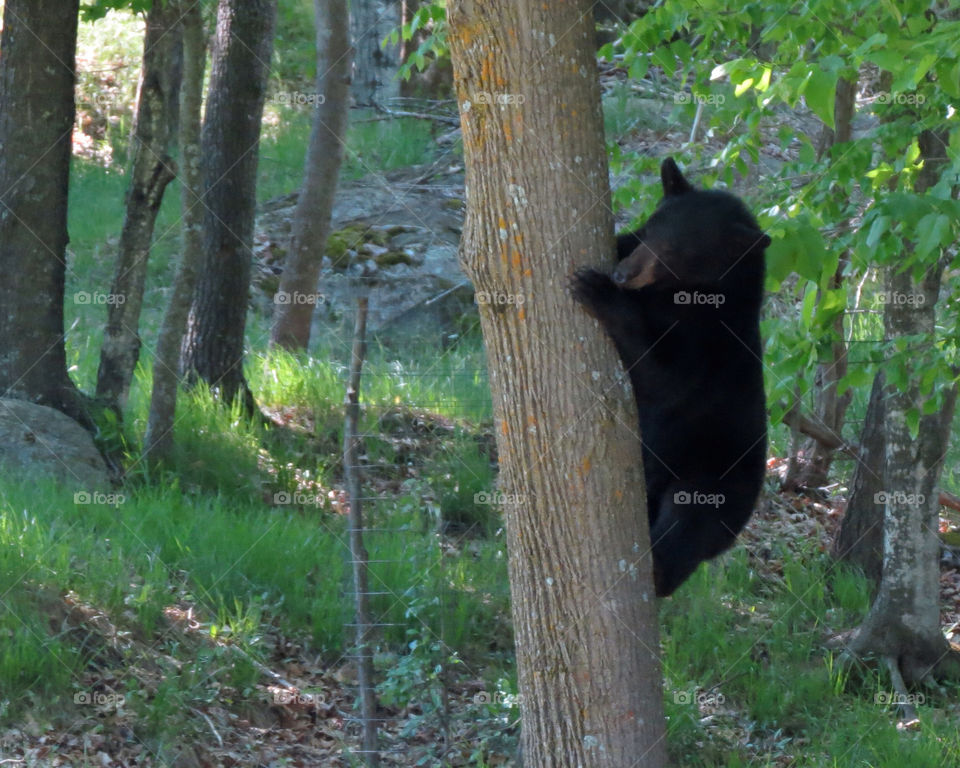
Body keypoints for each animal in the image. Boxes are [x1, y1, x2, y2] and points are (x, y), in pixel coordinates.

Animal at [571, 158, 769, 597]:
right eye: (650, 228)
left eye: (676, 252)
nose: (622, 275)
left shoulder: (713, 340)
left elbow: (665, 378)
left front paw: (596, 289)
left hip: (714, 475)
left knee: (688, 519)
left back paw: (660, 570)